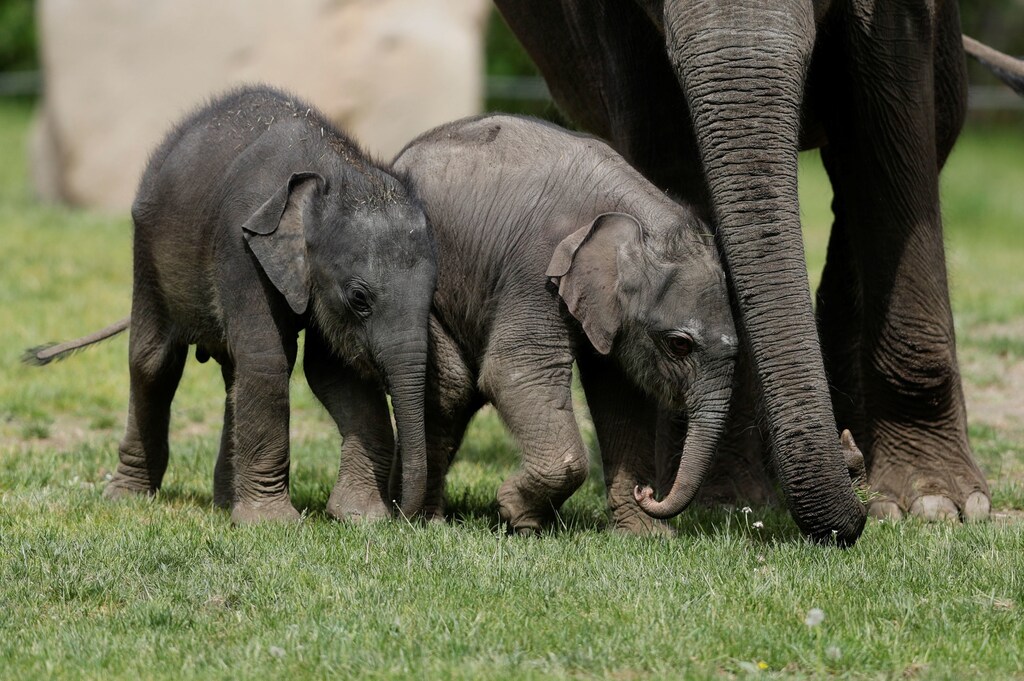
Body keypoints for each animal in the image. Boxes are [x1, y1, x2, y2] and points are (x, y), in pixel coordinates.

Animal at [24, 86, 437, 525]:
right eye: (359, 298)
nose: (403, 513)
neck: (334, 167)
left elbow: (336, 371)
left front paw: (361, 518)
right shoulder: (240, 248)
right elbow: (268, 361)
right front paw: (273, 524)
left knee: (231, 374)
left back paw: (224, 503)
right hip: (147, 251)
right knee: (153, 364)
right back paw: (127, 498)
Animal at [379, 113, 740, 535]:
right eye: (679, 344)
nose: (649, 493)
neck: (633, 217)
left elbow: (621, 394)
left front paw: (647, 535)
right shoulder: (537, 267)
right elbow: (515, 368)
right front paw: (516, 515)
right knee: (452, 386)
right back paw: (421, 520)